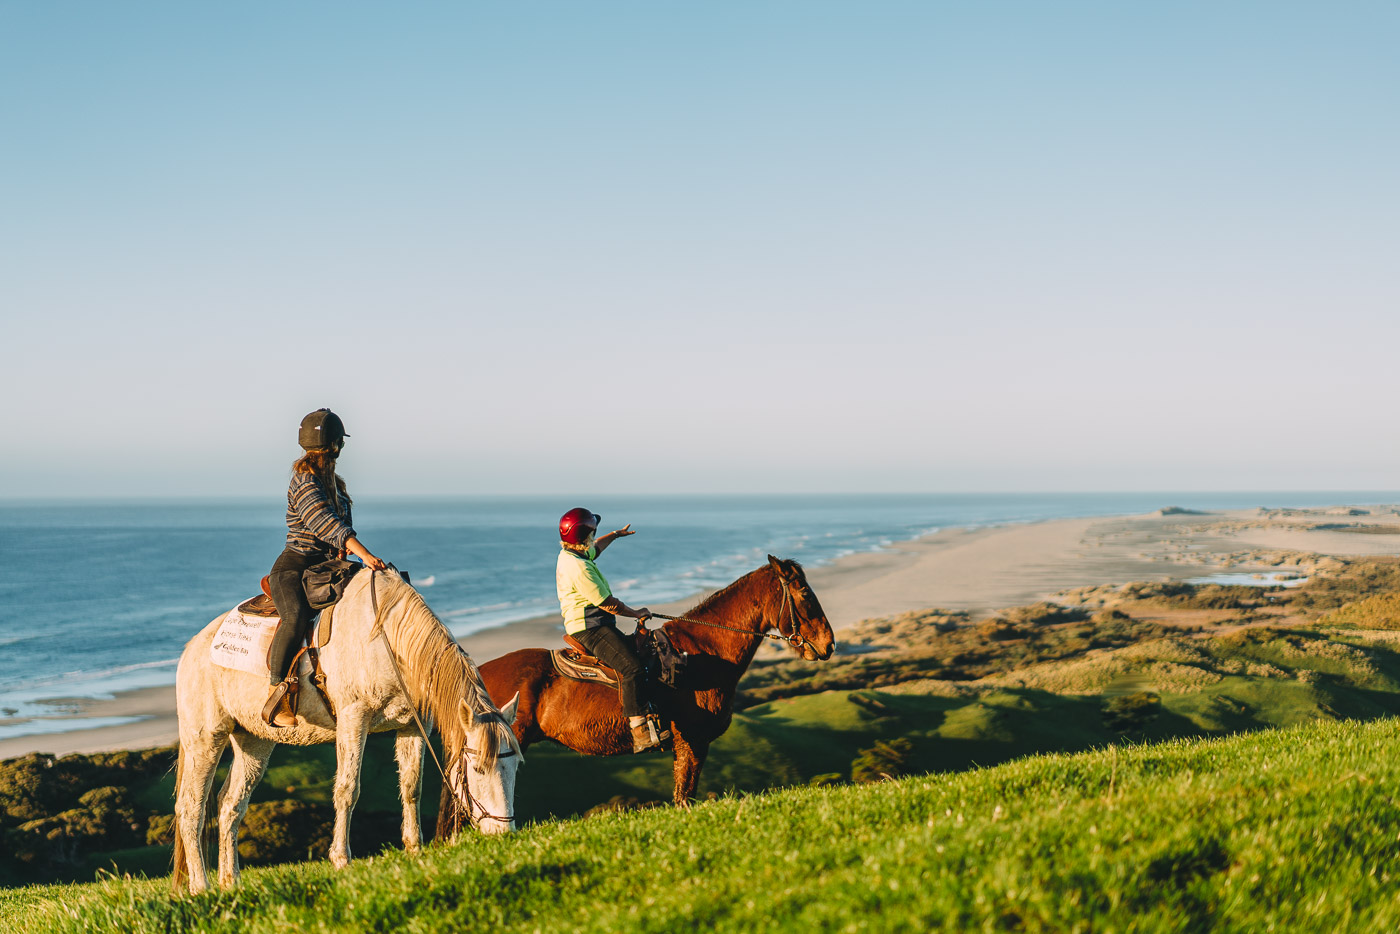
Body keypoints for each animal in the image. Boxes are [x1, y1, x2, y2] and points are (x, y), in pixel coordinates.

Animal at [169, 565, 520, 896]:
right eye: (478, 768)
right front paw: (341, 859)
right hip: (205, 739)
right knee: (190, 809)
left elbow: (412, 787)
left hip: (254, 742)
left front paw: (414, 850)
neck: (387, 638)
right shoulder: (354, 718)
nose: (504, 835)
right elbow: (348, 789)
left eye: (515, 766)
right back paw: (200, 886)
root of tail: (192, 649)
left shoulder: (413, 726)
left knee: (231, 805)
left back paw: (231, 882)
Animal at [436, 554, 828, 834]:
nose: (828, 644)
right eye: (805, 594)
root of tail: (477, 673)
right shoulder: (693, 741)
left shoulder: (688, 745)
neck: (701, 652)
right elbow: (684, 796)